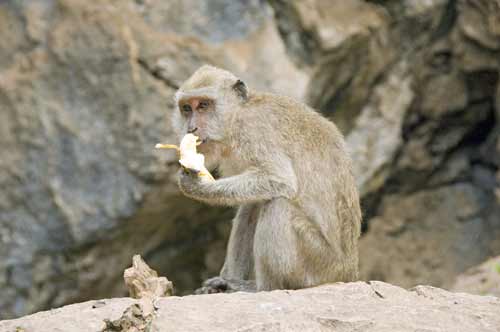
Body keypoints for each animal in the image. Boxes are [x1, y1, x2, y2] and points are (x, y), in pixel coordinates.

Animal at [171, 65, 360, 294]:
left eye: (203, 105)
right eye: (186, 108)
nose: (191, 129)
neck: (237, 116)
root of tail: (350, 271)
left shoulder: (254, 131)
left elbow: (280, 180)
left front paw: (197, 186)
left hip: (319, 265)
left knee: (278, 205)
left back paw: (262, 288)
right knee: (253, 206)